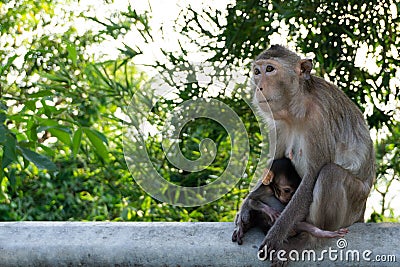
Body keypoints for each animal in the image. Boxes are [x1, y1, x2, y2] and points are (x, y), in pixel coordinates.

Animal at [234, 45, 376, 264]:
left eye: (269, 69)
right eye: (257, 72)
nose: (258, 88)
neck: (296, 108)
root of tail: (362, 212)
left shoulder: (318, 118)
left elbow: (312, 177)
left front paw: (276, 235)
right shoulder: (278, 124)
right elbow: (271, 166)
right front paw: (245, 210)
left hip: (353, 205)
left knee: (330, 173)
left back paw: (311, 238)